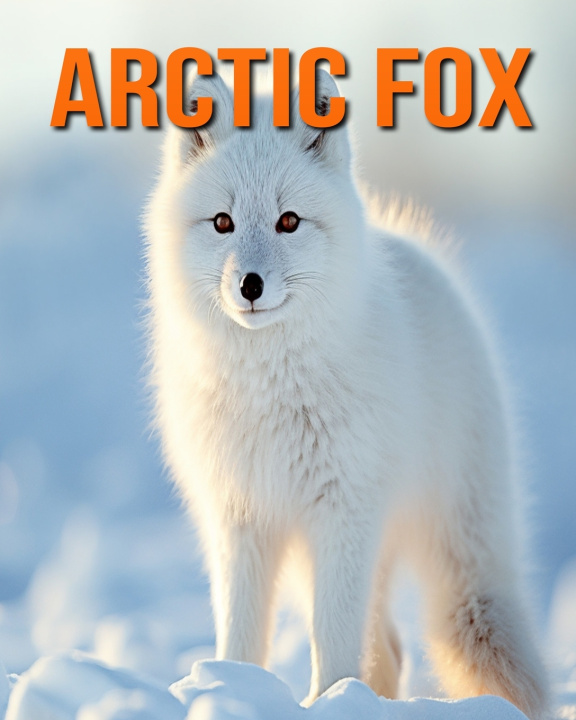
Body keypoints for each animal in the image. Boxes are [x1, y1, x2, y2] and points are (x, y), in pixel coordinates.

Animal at [144, 69, 550, 719]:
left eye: (288, 221)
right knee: (388, 648)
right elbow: (240, 632)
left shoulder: (343, 510)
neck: (270, 389)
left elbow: (333, 638)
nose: (250, 284)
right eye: (222, 222)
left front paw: (326, 698)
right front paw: (228, 688)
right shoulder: (240, 516)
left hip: (449, 545)